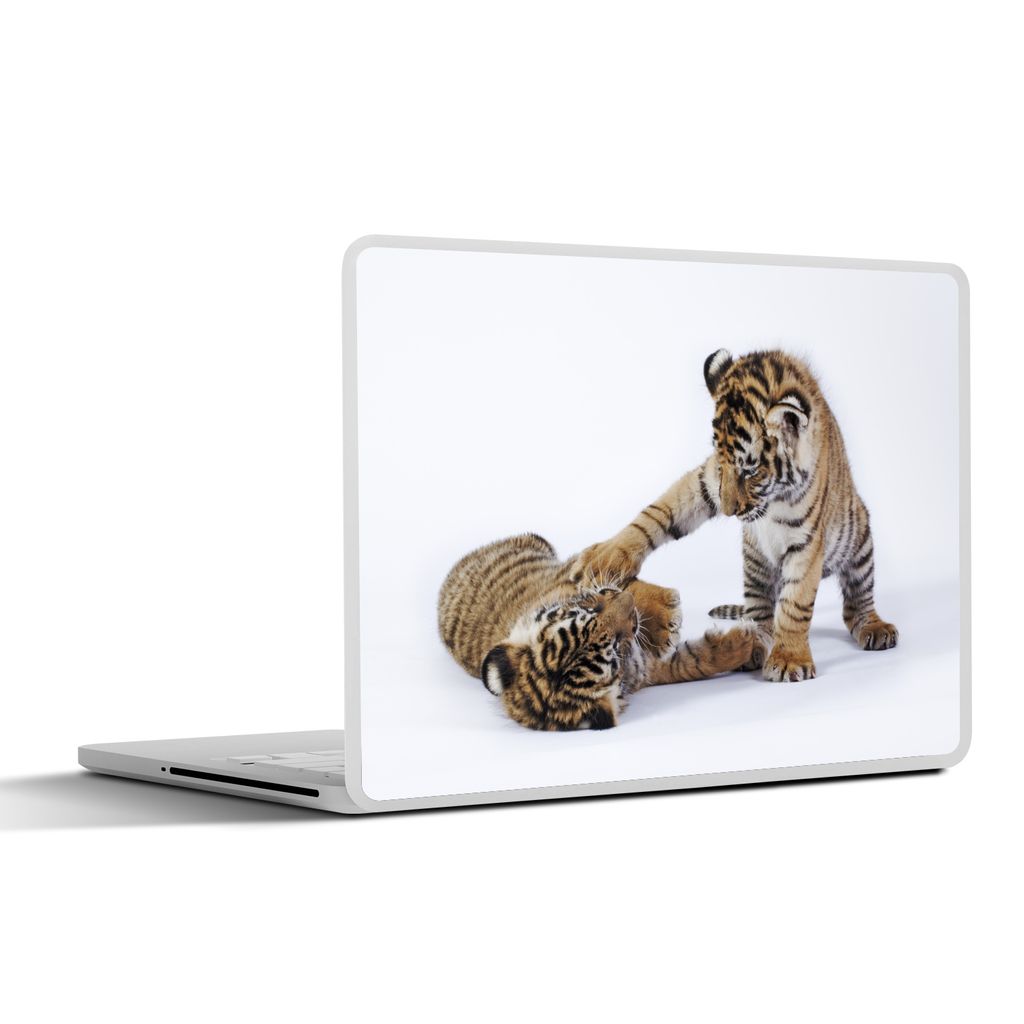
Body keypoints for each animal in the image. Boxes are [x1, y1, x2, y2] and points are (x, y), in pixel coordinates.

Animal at [438, 532, 761, 730]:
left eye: (589, 612)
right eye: (616, 647)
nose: (627, 605)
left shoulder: (577, 580)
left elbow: (613, 579)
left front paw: (663, 613)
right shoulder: (648, 669)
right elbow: (695, 661)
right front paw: (747, 643)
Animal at [573, 349, 898, 682]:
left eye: (750, 470)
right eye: (722, 462)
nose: (730, 512)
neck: (773, 499)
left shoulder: (806, 541)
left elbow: (795, 604)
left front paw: (789, 659)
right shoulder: (706, 481)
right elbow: (661, 510)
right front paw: (607, 558)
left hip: (860, 543)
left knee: (856, 604)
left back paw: (875, 628)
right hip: (755, 564)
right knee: (761, 612)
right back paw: (753, 645)